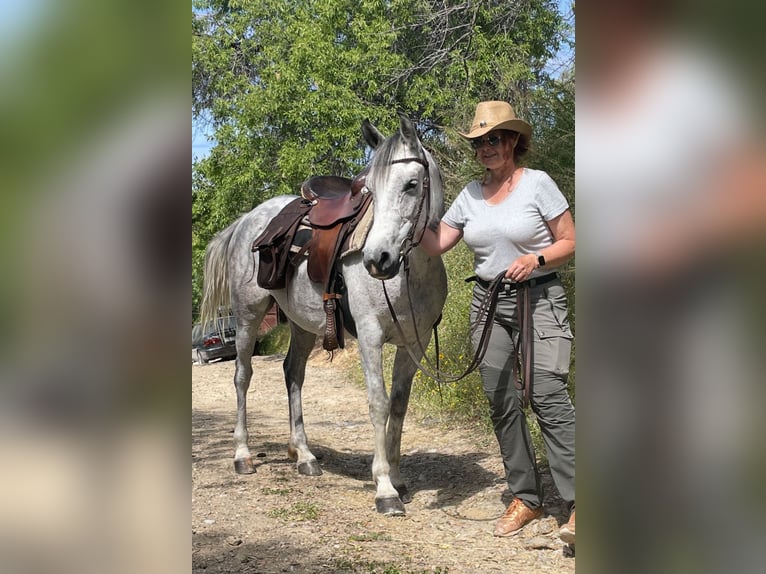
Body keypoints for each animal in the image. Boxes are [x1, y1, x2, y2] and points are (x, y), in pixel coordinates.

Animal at [199, 114, 447, 515]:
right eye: (370, 191)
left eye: (411, 185)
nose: (377, 260)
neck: (410, 275)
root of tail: (246, 221)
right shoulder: (371, 336)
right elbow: (378, 403)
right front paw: (384, 489)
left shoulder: (415, 341)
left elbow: (399, 405)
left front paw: (397, 477)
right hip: (248, 316)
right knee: (242, 377)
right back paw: (243, 455)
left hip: (302, 324)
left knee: (293, 373)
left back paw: (303, 455)